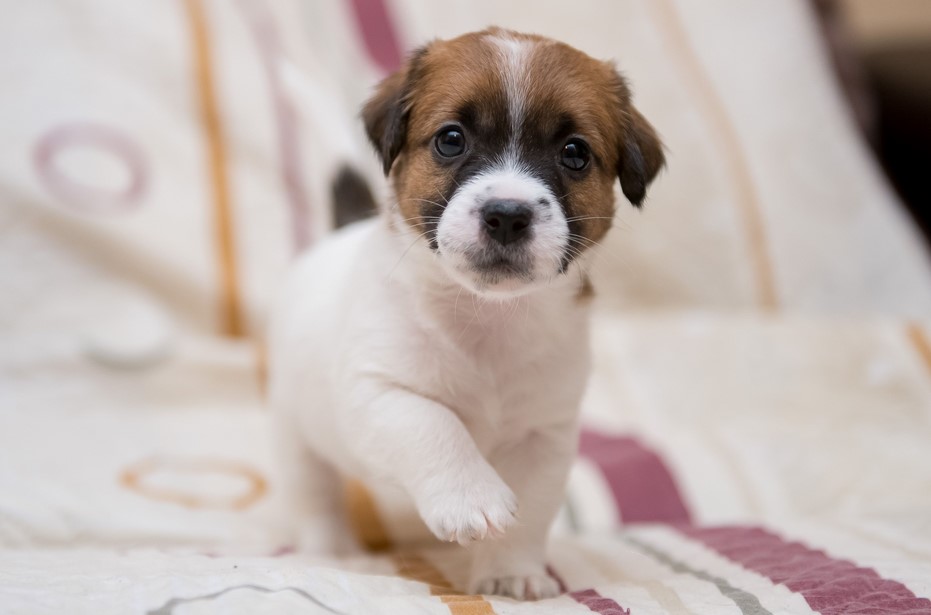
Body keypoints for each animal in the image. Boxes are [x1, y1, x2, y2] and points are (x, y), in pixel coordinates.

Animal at [266, 26, 668, 600]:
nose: (507, 215)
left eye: (574, 153)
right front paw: (470, 498)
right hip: (295, 436)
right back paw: (331, 549)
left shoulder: (542, 436)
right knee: (315, 498)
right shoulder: (379, 392)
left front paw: (511, 572)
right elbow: (434, 423)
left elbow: (531, 512)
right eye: (451, 139)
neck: (487, 318)